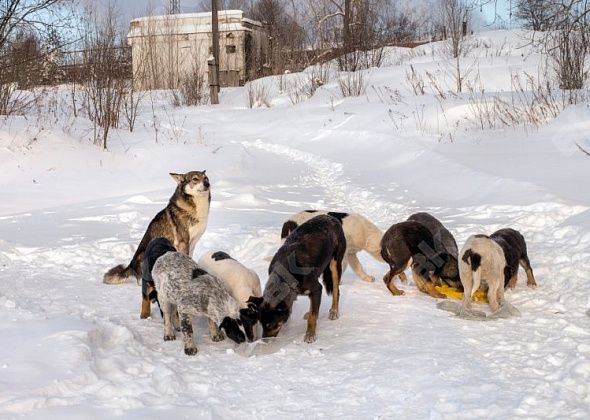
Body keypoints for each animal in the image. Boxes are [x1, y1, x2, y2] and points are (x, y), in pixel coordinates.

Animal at [104, 171, 210, 316]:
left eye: (206, 178)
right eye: (195, 179)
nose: (207, 184)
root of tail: (130, 266)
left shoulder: (192, 242)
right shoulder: (183, 242)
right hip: (143, 257)